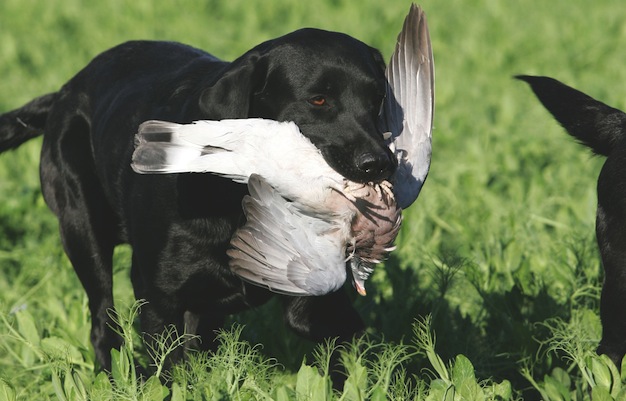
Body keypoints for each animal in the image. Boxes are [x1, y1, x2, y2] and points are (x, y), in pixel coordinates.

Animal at [0, 29, 394, 370]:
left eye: (377, 99)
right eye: (318, 100)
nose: (378, 163)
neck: (237, 197)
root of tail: (66, 89)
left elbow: (327, 328)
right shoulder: (160, 298)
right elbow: (167, 370)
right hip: (83, 231)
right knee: (103, 325)